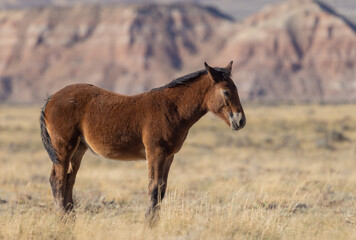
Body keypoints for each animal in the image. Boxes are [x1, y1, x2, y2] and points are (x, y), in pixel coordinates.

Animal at [39, 61, 245, 224]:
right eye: (226, 91)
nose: (240, 120)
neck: (172, 108)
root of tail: (51, 99)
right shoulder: (155, 152)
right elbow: (153, 187)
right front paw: (149, 222)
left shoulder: (169, 156)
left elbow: (162, 188)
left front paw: (155, 221)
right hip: (63, 148)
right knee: (57, 180)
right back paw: (62, 219)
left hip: (78, 150)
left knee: (69, 180)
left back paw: (71, 218)